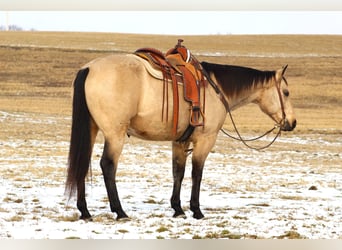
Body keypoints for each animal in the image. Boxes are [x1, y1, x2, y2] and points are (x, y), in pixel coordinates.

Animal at [65, 48, 296, 219]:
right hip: (115, 134)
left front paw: (177, 209)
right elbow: (197, 173)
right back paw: (120, 211)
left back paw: (85, 211)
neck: (216, 88)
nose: (292, 123)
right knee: (108, 166)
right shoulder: (205, 140)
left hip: (92, 130)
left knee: (83, 163)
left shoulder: (180, 141)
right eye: (286, 92)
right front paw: (196, 210)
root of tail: (89, 68)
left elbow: (179, 172)